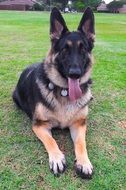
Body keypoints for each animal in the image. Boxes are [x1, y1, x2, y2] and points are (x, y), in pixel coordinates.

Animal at [12, 7, 95, 179]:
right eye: (64, 50)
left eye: (83, 49)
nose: (75, 74)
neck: (64, 92)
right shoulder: (39, 125)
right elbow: (51, 141)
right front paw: (56, 158)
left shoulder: (79, 124)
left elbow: (81, 143)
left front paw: (84, 162)